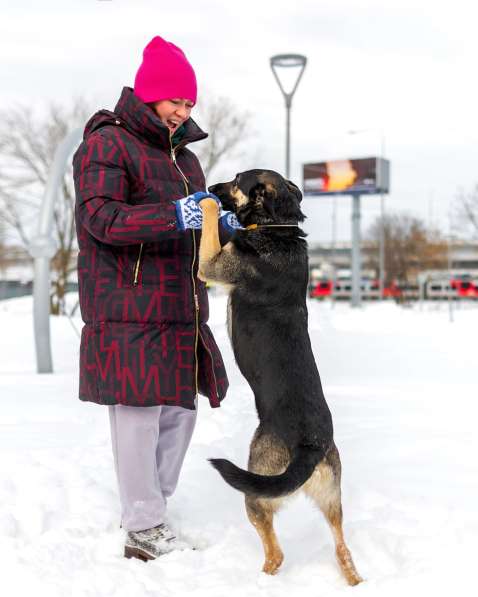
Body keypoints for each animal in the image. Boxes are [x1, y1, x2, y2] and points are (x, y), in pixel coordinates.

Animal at [198, 168, 362, 584]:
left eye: (235, 180)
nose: (210, 187)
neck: (279, 227)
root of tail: (311, 445)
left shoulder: (211, 266)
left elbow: (209, 230)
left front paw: (205, 206)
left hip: (256, 488)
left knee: (277, 553)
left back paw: (259, 578)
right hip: (332, 497)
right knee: (342, 547)